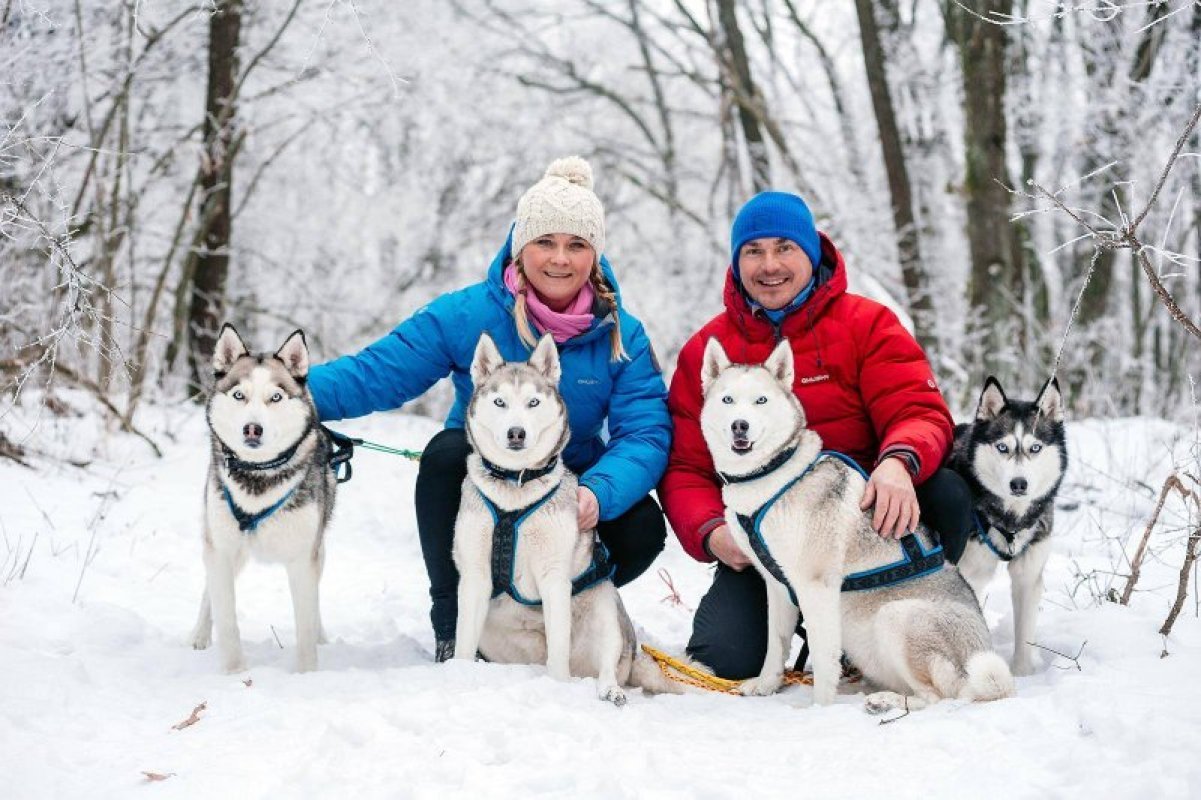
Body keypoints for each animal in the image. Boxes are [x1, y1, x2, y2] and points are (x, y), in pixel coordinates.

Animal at [189, 324, 336, 672]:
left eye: (276, 397)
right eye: (239, 395)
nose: (252, 429)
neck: (258, 476)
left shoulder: (303, 558)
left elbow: (305, 623)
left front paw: (307, 674)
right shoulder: (222, 550)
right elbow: (226, 618)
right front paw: (235, 673)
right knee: (209, 593)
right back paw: (199, 635)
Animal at [451, 333, 677, 701]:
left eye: (533, 402)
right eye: (499, 402)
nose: (516, 433)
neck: (516, 487)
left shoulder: (554, 577)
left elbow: (559, 649)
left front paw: (557, 686)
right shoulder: (475, 576)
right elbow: (464, 643)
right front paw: (458, 673)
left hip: (606, 610)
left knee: (605, 665)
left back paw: (609, 690)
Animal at [701, 338, 1008, 711]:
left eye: (761, 400)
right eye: (727, 399)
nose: (740, 426)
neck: (772, 475)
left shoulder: (816, 587)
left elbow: (822, 657)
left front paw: (818, 708)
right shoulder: (777, 585)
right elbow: (776, 644)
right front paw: (766, 686)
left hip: (896, 617)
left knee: (937, 698)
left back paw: (886, 701)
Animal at [946, 374, 1071, 672]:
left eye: (1035, 448)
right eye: (1003, 447)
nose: (1019, 484)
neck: (1010, 520)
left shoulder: (1028, 576)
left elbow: (1024, 634)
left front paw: (1024, 674)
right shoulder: (968, 573)